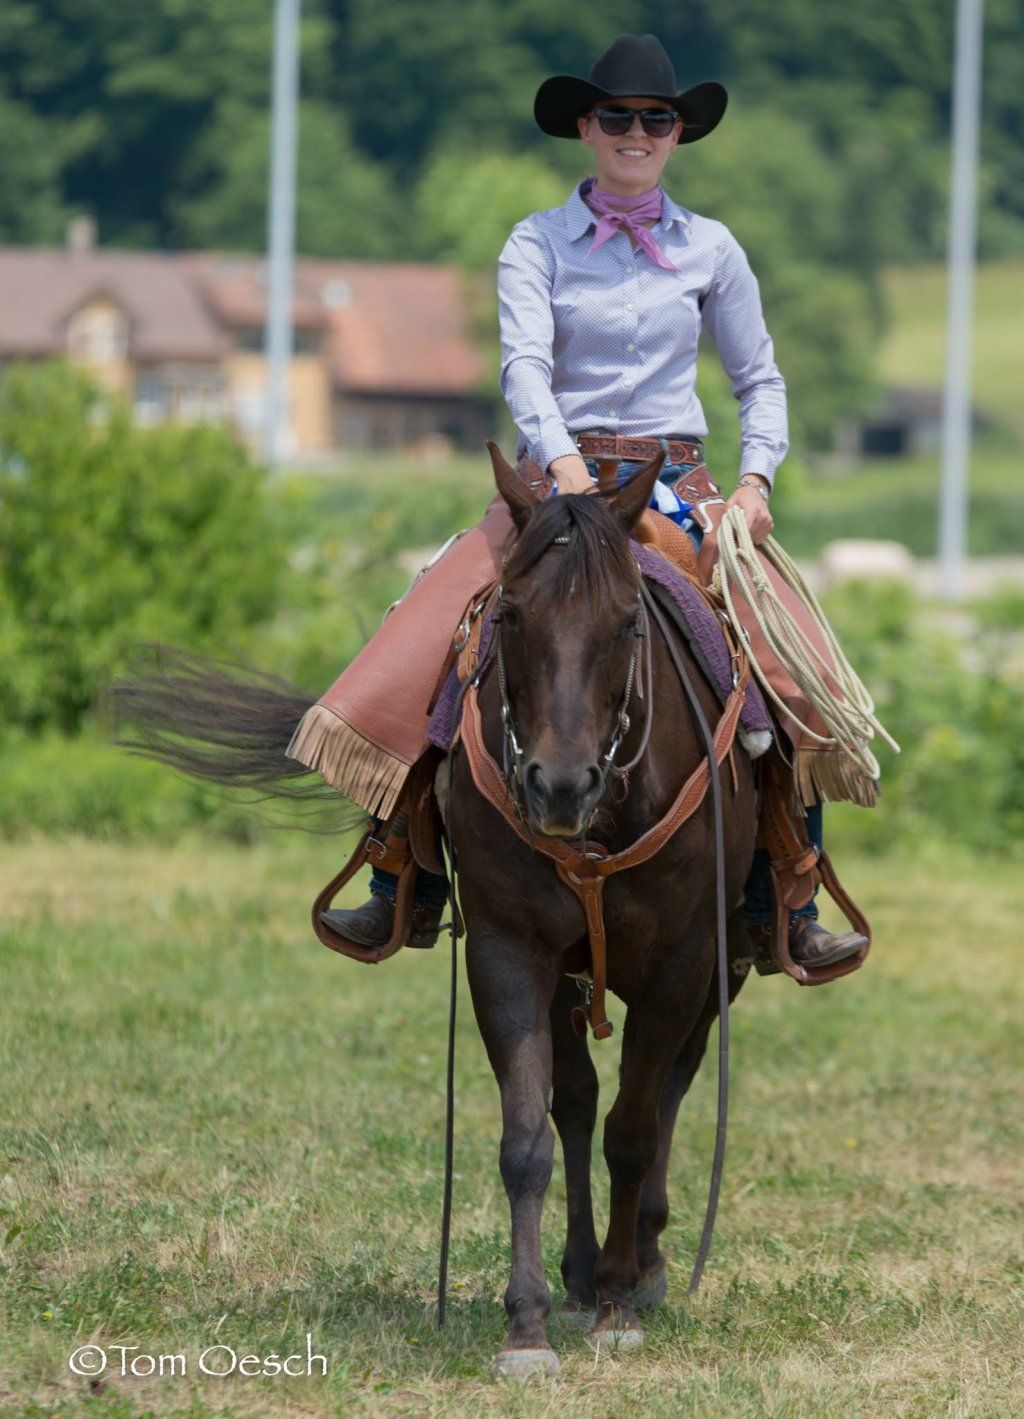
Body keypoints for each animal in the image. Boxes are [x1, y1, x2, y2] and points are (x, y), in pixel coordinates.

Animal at [113, 447, 759, 1380]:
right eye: (514, 615)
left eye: (627, 621)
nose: (559, 788)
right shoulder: (508, 948)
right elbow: (528, 1135)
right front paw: (529, 1322)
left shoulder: (680, 959)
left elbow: (636, 1129)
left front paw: (617, 1304)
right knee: (575, 1100)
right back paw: (580, 1272)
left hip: (712, 973)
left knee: (665, 1090)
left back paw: (639, 1264)